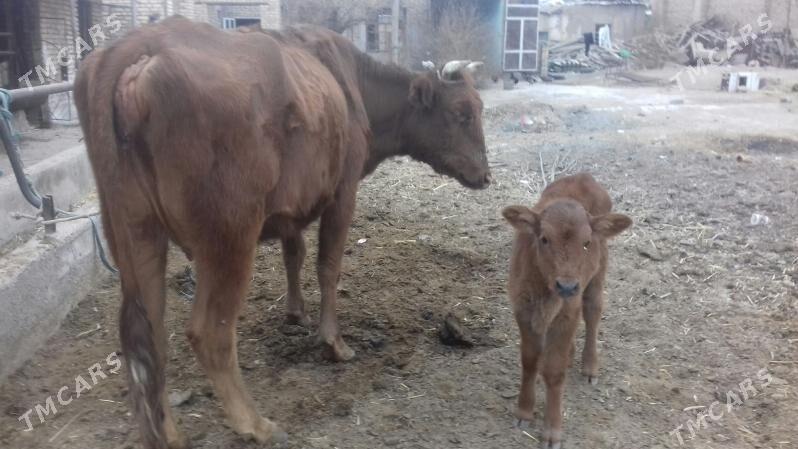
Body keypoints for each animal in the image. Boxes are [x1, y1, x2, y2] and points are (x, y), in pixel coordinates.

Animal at [74, 16, 490, 449]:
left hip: (133, 230)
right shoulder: (343, 191)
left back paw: (168, 432)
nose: (486, 175)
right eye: (461, 113)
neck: (352, 83)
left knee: (145, 332)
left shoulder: (291, 208)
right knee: (209, 332)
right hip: (229, 235)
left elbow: (296, 253)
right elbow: (328, 265)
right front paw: (334, 343)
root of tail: (138, 44)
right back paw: (254, 423)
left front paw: (296, 313)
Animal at [502, 173, 631, 449]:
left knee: (593, 311)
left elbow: (554, 371)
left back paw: (589, 367)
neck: (546, 292)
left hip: (597, 274)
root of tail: (584, 176)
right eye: (544, 239)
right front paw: (524, 411)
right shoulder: (523, 310)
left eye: (586, 243)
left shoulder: (567, 313)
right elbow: (529, 360)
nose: (568, 286)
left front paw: (552, 432)